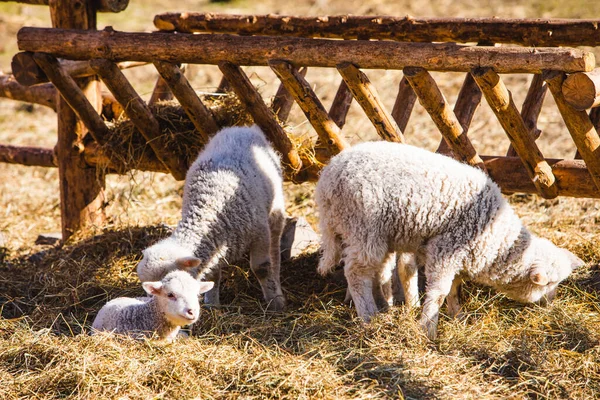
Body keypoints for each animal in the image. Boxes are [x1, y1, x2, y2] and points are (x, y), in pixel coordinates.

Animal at [137, 125, 288, 310]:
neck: (209, 209)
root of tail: (242, 128)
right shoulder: (214, 245)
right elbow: (212, 274)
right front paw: (213, 304)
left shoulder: (260, 233)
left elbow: (262, 268)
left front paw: (275, 302)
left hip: (275, 209)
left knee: (274, 248)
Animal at [316, 142, 584, 340]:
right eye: (550, 284)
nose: (550, 305)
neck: (496, 239)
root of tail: (326, 178)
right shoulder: (447, 249)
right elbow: (439, 292)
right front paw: (428, 328)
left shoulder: (456, 255)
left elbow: (454, 288)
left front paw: (457, 316)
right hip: (362, 227)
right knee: (356, 273)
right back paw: (369, 317)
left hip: (371, 233)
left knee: (376, 270)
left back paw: (384, 306)